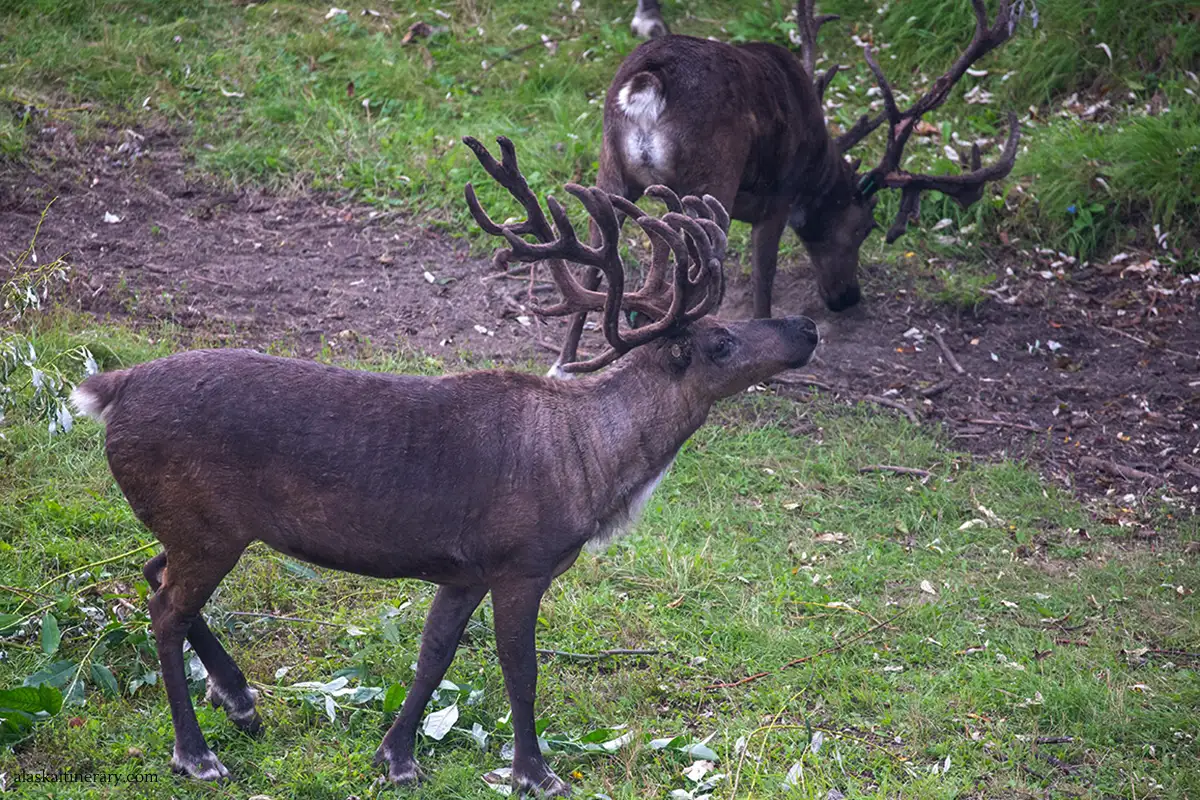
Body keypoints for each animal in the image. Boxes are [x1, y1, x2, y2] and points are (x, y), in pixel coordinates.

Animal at [70, 136, 820, 796]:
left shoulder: (464, 569)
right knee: (165, 607)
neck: (591, 463)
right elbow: (521, 670)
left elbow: (434, 655)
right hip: (208, 525)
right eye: (720, 342)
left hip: (195, 524)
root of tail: (111, 388)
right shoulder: (522, 561)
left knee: (153, 573)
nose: (807, 328)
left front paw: (396, 756)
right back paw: (196, 753)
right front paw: (534, 772)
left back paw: (241, 701)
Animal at [551, 0, 1024, 373]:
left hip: (611, 168)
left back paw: (566, 362)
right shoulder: (779, 197)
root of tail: (648, 84)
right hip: (710, 176)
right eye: (864, 227)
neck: (817, 166)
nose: (847, 297)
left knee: (593, 260)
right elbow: (765, 273)